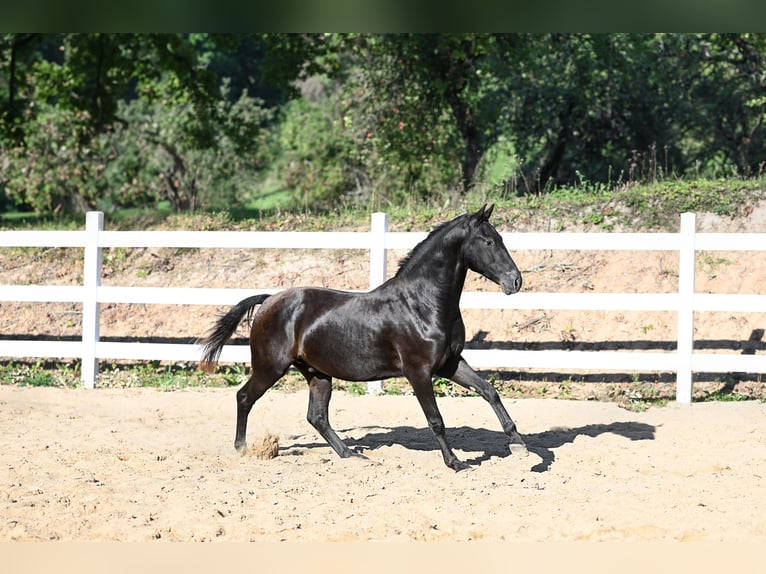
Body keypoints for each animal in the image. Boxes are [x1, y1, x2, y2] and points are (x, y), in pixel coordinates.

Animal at [200, 207, 528, 472]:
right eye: (488, 241)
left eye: (500, 238)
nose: (515, 281)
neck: (422, 304)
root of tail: (269, 300)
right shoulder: (418, 372)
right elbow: (435, 419)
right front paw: (455, 463)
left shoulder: (450, 363)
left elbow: (489, 391)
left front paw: (518, 443)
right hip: (270, 367)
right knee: (244, 397)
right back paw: (242, 448)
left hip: (318, 374)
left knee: (317, 417)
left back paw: (351, 454)